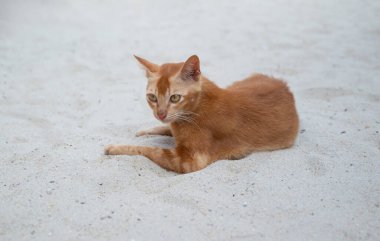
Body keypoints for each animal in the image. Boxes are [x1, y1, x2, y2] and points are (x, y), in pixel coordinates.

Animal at [104, 55, 300, 173]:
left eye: (175, 98)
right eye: (152, 97)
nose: (160, 114)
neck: (196, 107)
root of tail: (285, 86)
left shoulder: (188, 161)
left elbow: (145, 149)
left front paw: (115, 148)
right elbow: (166, 129)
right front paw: (146, 131)